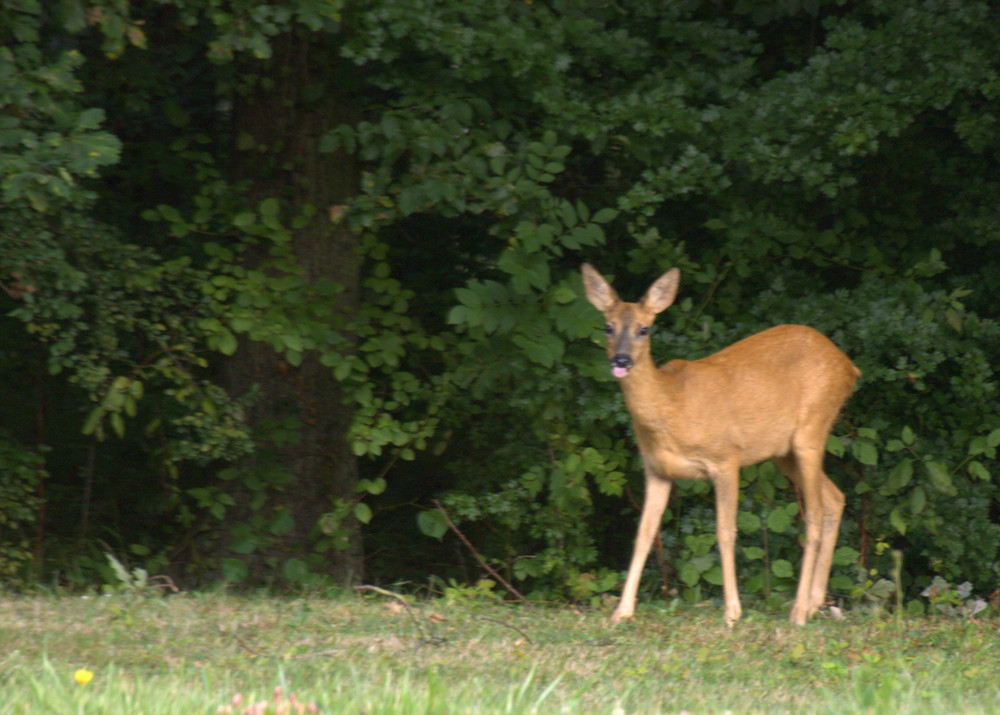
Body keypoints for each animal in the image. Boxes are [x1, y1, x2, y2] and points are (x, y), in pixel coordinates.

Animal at [584, 264, 864, 628]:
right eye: (608, 326)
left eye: (644, 329)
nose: (621, 360)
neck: (671, 404)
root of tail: (849, 366)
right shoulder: (657, 470)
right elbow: (644, 535)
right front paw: (621, 612)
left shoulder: (726, 457)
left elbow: (725, 531)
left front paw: (732, 612)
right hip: (784, 452)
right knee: (835, 498)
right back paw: (815, 603)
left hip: (811, 430)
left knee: (814, 514)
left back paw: (799, 612)